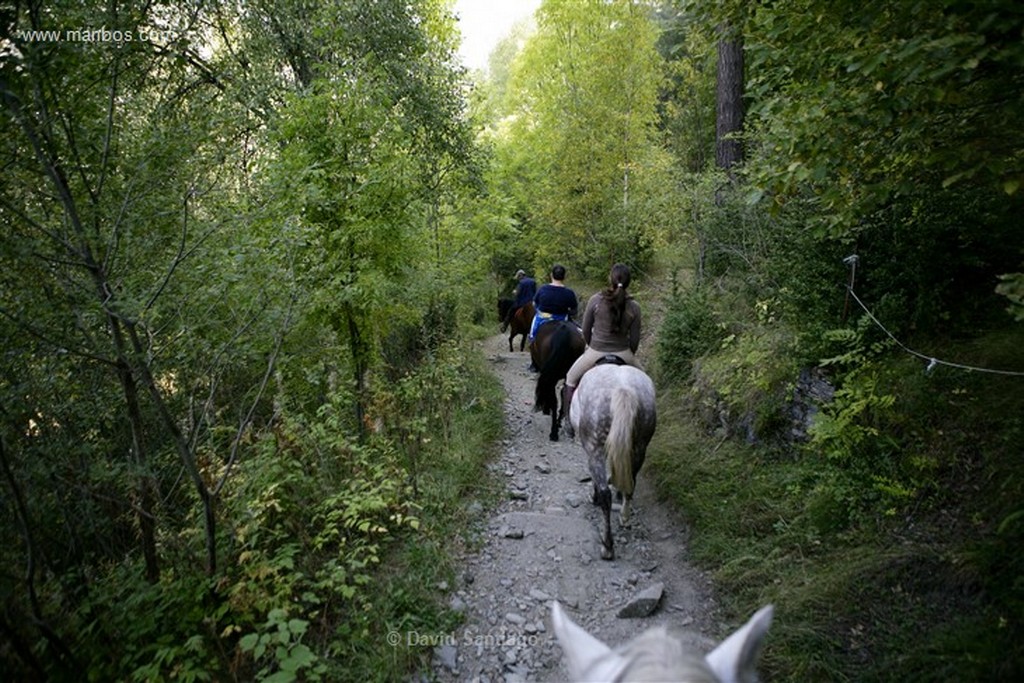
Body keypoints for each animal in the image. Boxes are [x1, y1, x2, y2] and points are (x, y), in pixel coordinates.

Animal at [569, 362, 655, 561]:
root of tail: (623, 389)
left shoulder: (593, 450)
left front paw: (594, 496)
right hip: (640, 446)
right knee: (631, 482)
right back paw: (624, 517)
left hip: (595, 448)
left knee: (605, 495)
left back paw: (607, 546)